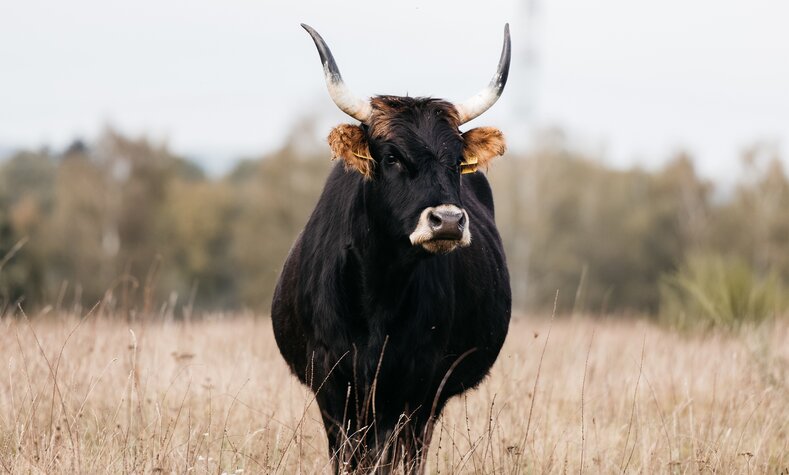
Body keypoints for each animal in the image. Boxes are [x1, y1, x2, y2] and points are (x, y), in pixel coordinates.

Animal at [270, 25, 510, 472]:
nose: (448, 221)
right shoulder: (332, 385)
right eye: (393, 157)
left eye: (456, 160)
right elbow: (348, 457)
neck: (378, 292)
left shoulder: (419, 386)